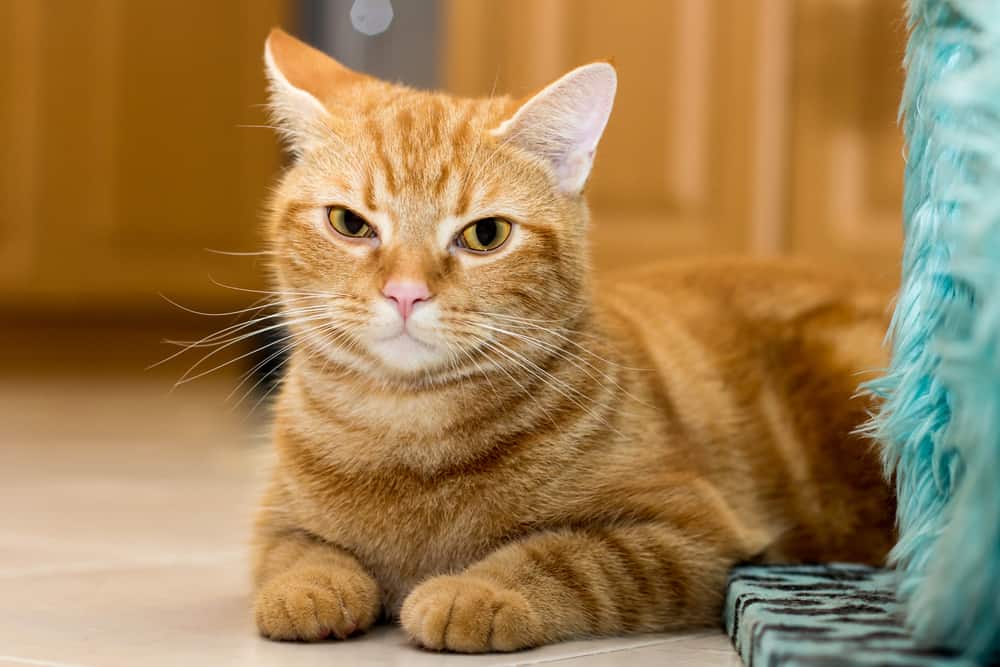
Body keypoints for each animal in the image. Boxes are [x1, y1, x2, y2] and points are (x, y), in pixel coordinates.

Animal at [254, 30, 896, 652]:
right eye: (350, 223)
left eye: (486, 234)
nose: (406, 293)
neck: (410, 428)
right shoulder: (276, 514)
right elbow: (293, 551)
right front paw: (308, 588)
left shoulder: (686, 532)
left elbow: (567, 557)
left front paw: (476, 591)